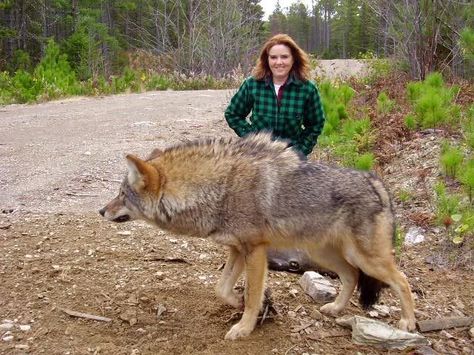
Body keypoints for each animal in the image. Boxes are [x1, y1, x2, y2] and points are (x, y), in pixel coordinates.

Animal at [99, 134, 414, 342]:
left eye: (122, 195)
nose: (101, 210)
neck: (219, 188)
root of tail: (378, 183)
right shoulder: (237, 250)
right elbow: (221, 289)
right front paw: (239, 304)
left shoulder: (256, 250)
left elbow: (252, 295)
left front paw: (244, 328)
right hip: (327, 255)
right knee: (351, 276)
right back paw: (335, 308)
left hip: (366, 259)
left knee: (402, 280)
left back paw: (408, 322)